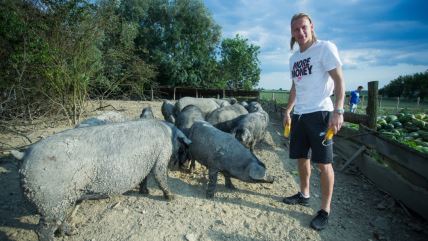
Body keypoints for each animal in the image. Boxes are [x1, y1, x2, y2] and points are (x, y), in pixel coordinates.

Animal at [11, 119, 191, 241]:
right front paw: (172, 198)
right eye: (182, 147)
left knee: (59, 221)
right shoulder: (162, 154)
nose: (183, 165)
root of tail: (23, 155)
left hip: (58, 203)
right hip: (50, 200)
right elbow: (160, 176)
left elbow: (145, 177)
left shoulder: (147, 162)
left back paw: (71, 232)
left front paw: (144, 191)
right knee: (42, 230)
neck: (169, 133)